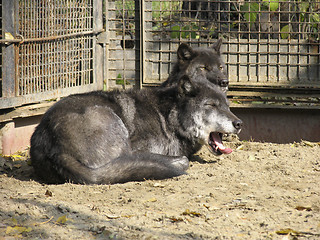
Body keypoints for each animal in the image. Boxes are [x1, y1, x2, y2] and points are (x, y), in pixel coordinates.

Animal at [30, 76, 242, 185]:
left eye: (227, 106)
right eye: (211, 105)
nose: (239, 123)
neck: (168, 116)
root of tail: (55, 148)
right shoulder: (139, 147)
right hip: (111, 120)